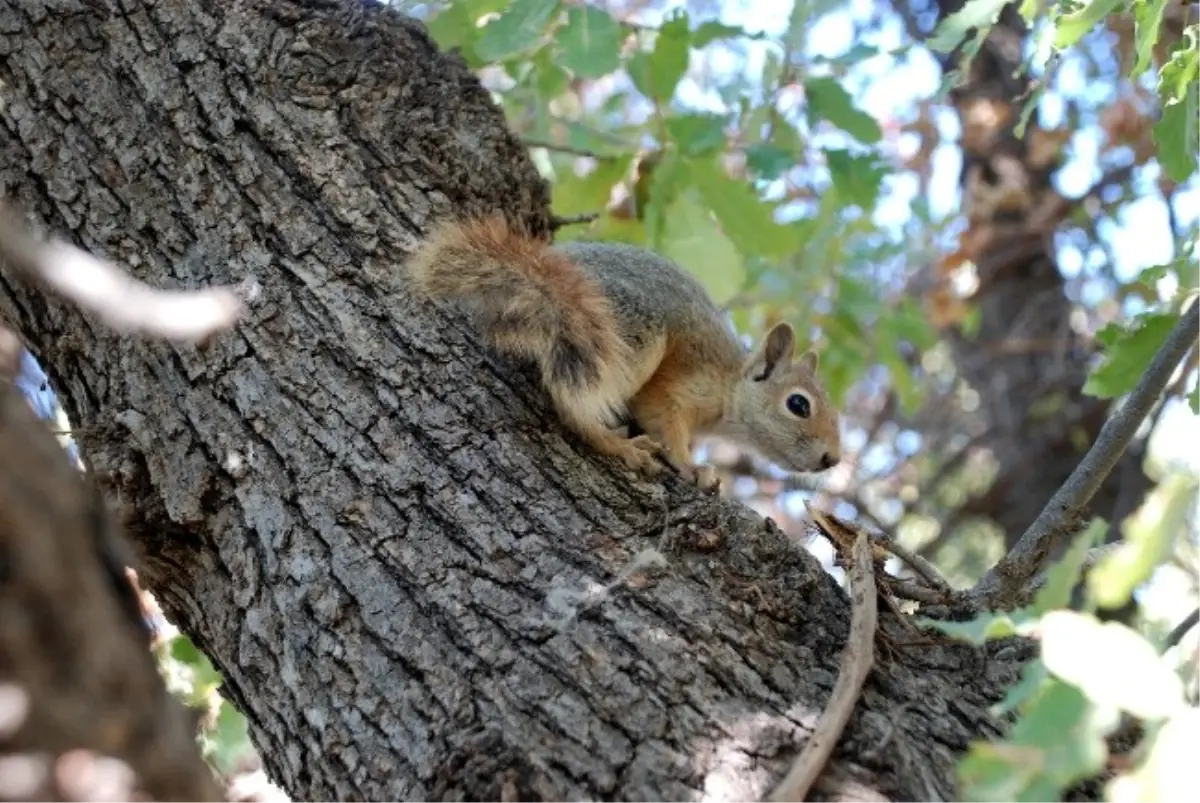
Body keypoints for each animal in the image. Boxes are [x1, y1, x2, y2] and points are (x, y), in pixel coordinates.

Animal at [410, 217, 844, 489]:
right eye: (798, 405)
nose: (833, 460)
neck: (729, 385)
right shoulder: (676, 385)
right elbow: (665, 423)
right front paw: (693, 467)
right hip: (628, 337)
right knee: (573, 407)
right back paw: (618, 445)